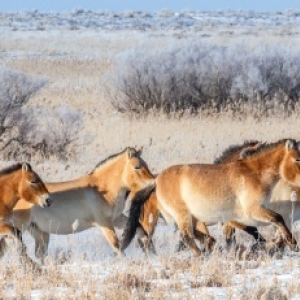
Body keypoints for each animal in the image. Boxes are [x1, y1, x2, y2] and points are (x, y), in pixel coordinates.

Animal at [12, 147, 154, 258]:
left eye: (146, 165)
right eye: (137, 167)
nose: (152, 182)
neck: (103, 190)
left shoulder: (116, 219)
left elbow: (141, 230)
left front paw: (151, 252)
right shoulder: (104, 223)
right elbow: (117, 246)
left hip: (38, 232)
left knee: (39, 254)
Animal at [121, 140, 300, 255]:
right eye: (298, 158)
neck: (254, 173)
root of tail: (155, 181)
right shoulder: (250, 213)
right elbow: (276, 220)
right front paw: (292, 244)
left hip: (191, 218)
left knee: (196, 237)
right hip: (177, 216)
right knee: (184, 237)